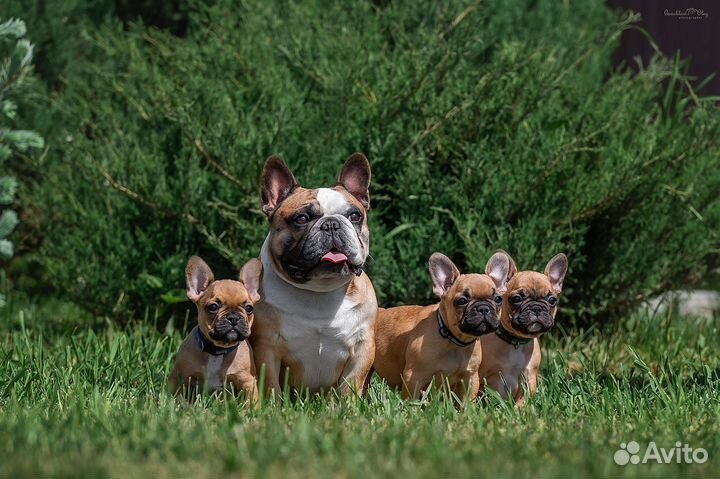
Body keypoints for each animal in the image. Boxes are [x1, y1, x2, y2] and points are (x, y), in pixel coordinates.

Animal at [169, 256, 264, 404]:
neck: (218, 351)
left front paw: (252, 410)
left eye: (249, 308)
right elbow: (170, 393)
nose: (233, 317)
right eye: (213, 307)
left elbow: (251, 401)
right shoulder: (178, 375)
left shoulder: (248, 381)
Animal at [252, 154, 380, 398]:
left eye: (355, 215)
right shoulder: (267, 348)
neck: (319, 291)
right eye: (301, 218)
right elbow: (271, 385)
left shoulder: (362, 347)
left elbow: (350, 384)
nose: (332, 223)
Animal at [372, 253, 512, 404]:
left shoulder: (470, 378)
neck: (455, 341)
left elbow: (465, 401)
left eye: (498, 299)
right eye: (462, 301)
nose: (483, 308)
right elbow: (412, 400)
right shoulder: (414, 377)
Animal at [478, 253, 568, 406]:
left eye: (552, 300)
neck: (516, 341)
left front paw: (519, 410)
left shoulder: (529, 378)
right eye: (516, 298)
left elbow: (522, 399)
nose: (536, 308)